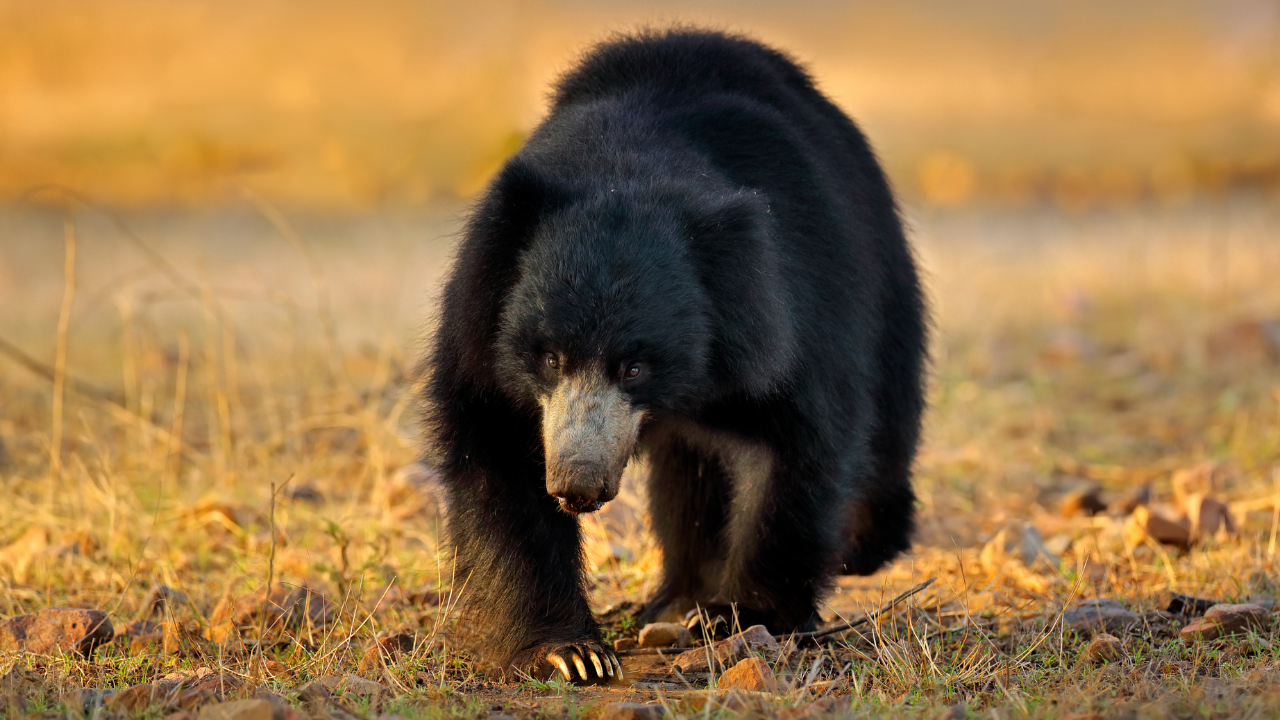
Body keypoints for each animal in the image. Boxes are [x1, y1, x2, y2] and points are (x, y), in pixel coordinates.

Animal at [424, 29, 926, 681]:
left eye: (636, 367)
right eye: (550, 357)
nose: (576, 484)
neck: (627, 166)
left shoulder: (791, 301)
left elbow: (799, 441)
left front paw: (739, 616)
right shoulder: (481, 323)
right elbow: (498, 455)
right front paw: (572, 654)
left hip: (886, 281)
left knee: (886, 423)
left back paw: (863, 545)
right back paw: (673, 598)